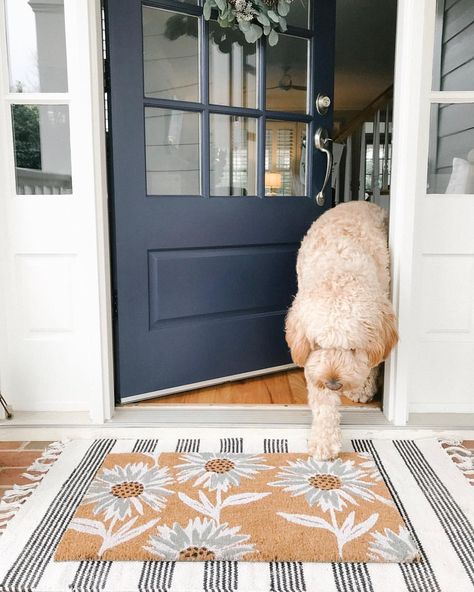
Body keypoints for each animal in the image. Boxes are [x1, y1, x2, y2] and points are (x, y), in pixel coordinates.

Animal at [286, 201, 398, 460]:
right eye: (318, 345)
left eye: (353, 348)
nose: (333, 383)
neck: (339, 271)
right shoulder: (316, 365)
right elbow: (323, 402)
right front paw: (324, 440)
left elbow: (372, 364)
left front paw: (364, 387)